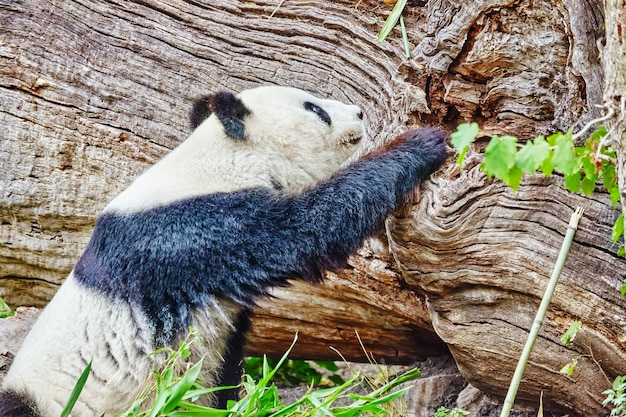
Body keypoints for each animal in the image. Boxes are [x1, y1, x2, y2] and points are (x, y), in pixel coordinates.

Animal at [0, 85, 444, 416]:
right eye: (315, 108)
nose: (359, 113)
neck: (220, 158)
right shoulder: (190, 231)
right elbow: (305, 229)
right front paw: (422, 143)